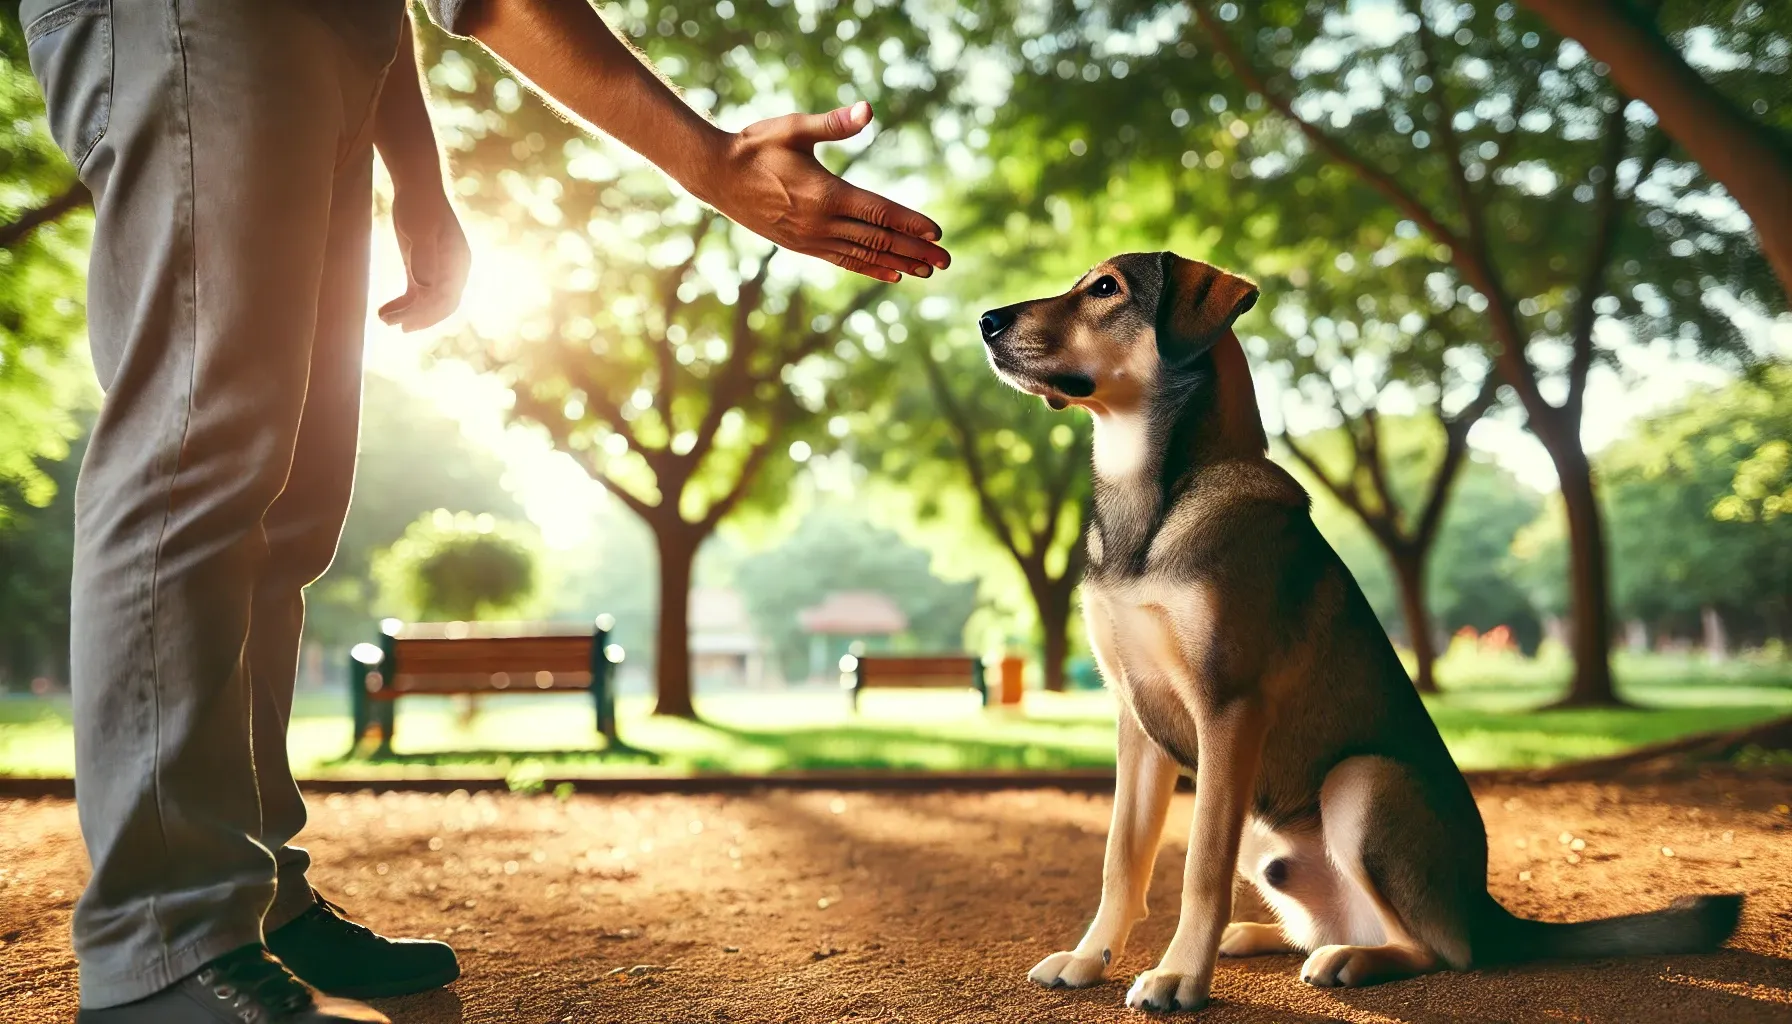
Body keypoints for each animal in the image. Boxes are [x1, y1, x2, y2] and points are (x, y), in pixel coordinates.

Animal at [974, 252, 1741, 1011]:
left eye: (1106, 288)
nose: (985, 319)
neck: (1154, 501)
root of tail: (1487, 911)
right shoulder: (1137, 722)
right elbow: (1121, 860)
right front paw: (1088, 959)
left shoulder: (1228, 711)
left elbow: (1199, 869)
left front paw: (1178, 976)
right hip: (1264, 824)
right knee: (1329, 926)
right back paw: (1258, 937)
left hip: (1360, 781)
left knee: (1441, 950)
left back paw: (1353, 960)